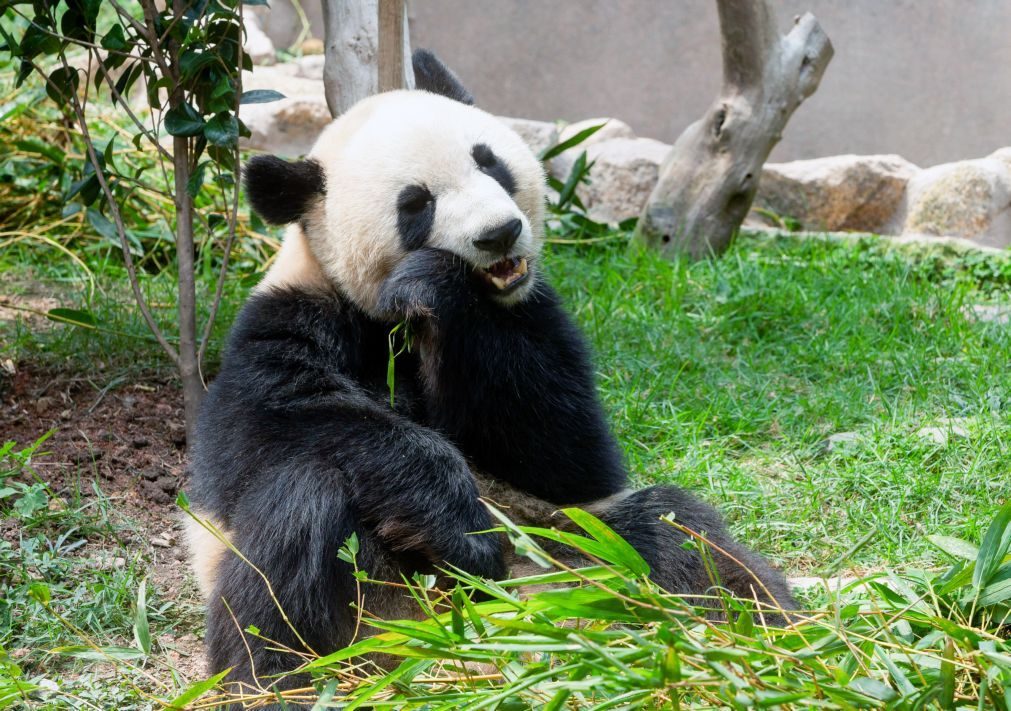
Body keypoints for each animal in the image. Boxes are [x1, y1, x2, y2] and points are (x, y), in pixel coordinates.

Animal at [186, 51, 792, 707]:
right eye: (415, 204)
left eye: (488, 160)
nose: (499, 233)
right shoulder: (288, 322)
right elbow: (276, 428)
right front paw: (459, 529)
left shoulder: (531, 315)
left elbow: (564, 452)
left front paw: (435, 285)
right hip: (372, 603)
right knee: (295, 522)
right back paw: (281, 680)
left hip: (567, 543)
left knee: (674, 536)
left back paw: (758, 635)